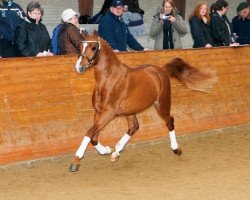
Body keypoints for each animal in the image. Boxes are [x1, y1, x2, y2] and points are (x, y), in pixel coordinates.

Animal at [69, 31, 214, 172]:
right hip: (130, 111)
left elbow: (89, 133)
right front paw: (107, 150)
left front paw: (75, 161)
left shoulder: (109, 113)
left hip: (161, 104)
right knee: (134, 127)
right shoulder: (98, 112)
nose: (79, 67)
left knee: (170, 121)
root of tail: (161, 70)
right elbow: (93, 137)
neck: (108, 79)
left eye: (93, 47)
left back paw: (176, 149)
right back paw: (116, 153)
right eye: (80, 46)